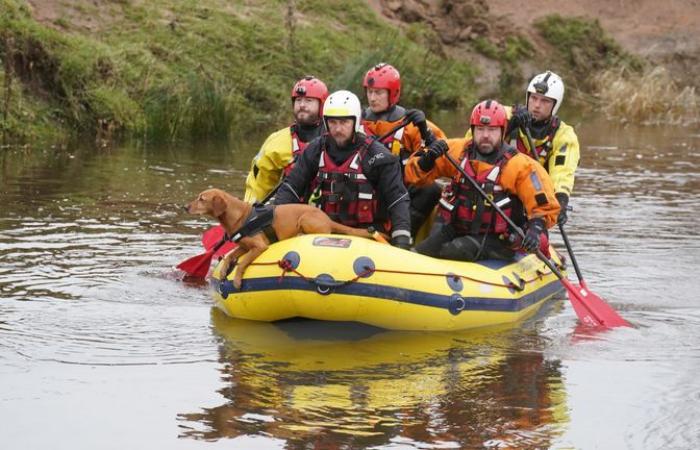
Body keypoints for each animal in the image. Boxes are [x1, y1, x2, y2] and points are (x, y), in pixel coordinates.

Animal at [185, 187, 372, 286]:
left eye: (202, 199)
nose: (185, 207)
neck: (241, 216)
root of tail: (327, 218)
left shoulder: (259, 246)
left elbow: (242, 263)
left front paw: (237, 280)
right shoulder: (244, 246)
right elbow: (230, 256)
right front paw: (224, 270)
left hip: (305, 218)